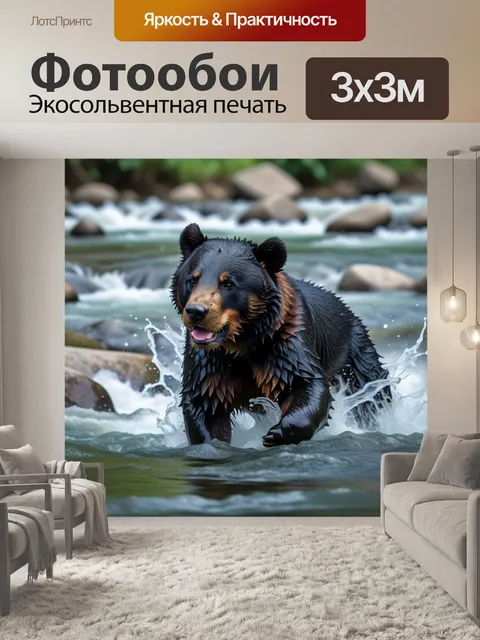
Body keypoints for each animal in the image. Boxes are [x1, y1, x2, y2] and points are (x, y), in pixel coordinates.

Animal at [171, 223, 391, 447]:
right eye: (192, 279)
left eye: (228, 283)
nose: (196, 311)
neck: (243, 340)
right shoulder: (211, 362)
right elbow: (204, 403)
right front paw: (212, 441)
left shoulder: (284, 342)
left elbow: (305, 383)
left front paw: (277, 433)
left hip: (354, 354)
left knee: (369, 395)